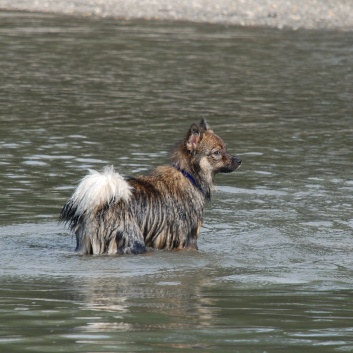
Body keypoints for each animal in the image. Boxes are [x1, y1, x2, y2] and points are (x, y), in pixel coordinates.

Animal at [60, 119, 241, 254]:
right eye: (216, 153)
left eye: (226, 149)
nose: (239, 160)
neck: (188, 175)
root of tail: (97, 205)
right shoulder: (188, 240)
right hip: (133, 242)